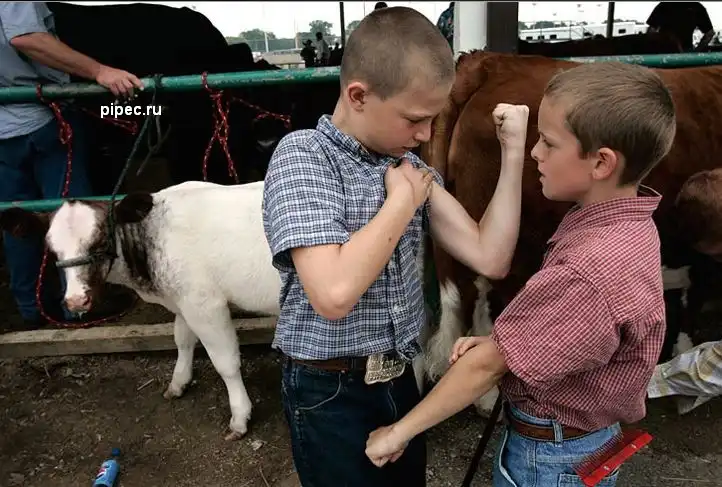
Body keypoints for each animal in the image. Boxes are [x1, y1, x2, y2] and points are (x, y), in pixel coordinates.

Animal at [0, 181, 282, 440]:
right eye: (51, 248)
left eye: (100, 240)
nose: (77, 301)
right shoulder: (182, 300)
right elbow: (182, 340)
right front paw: (178, 383)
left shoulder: (204, 304)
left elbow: (226, 364)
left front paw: (239, 418)